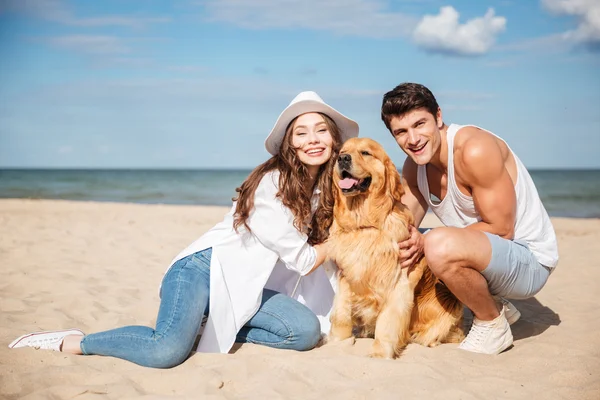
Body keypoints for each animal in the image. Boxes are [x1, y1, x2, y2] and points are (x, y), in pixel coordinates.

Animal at [328, 138, 464, 360]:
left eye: (365, 153)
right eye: (341, 152)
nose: (343, 159)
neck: (365, 225)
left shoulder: (398, 283)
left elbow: (387, 323)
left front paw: (380, 353)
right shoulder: (346, 276)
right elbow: (340, 312)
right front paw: (338, 342)